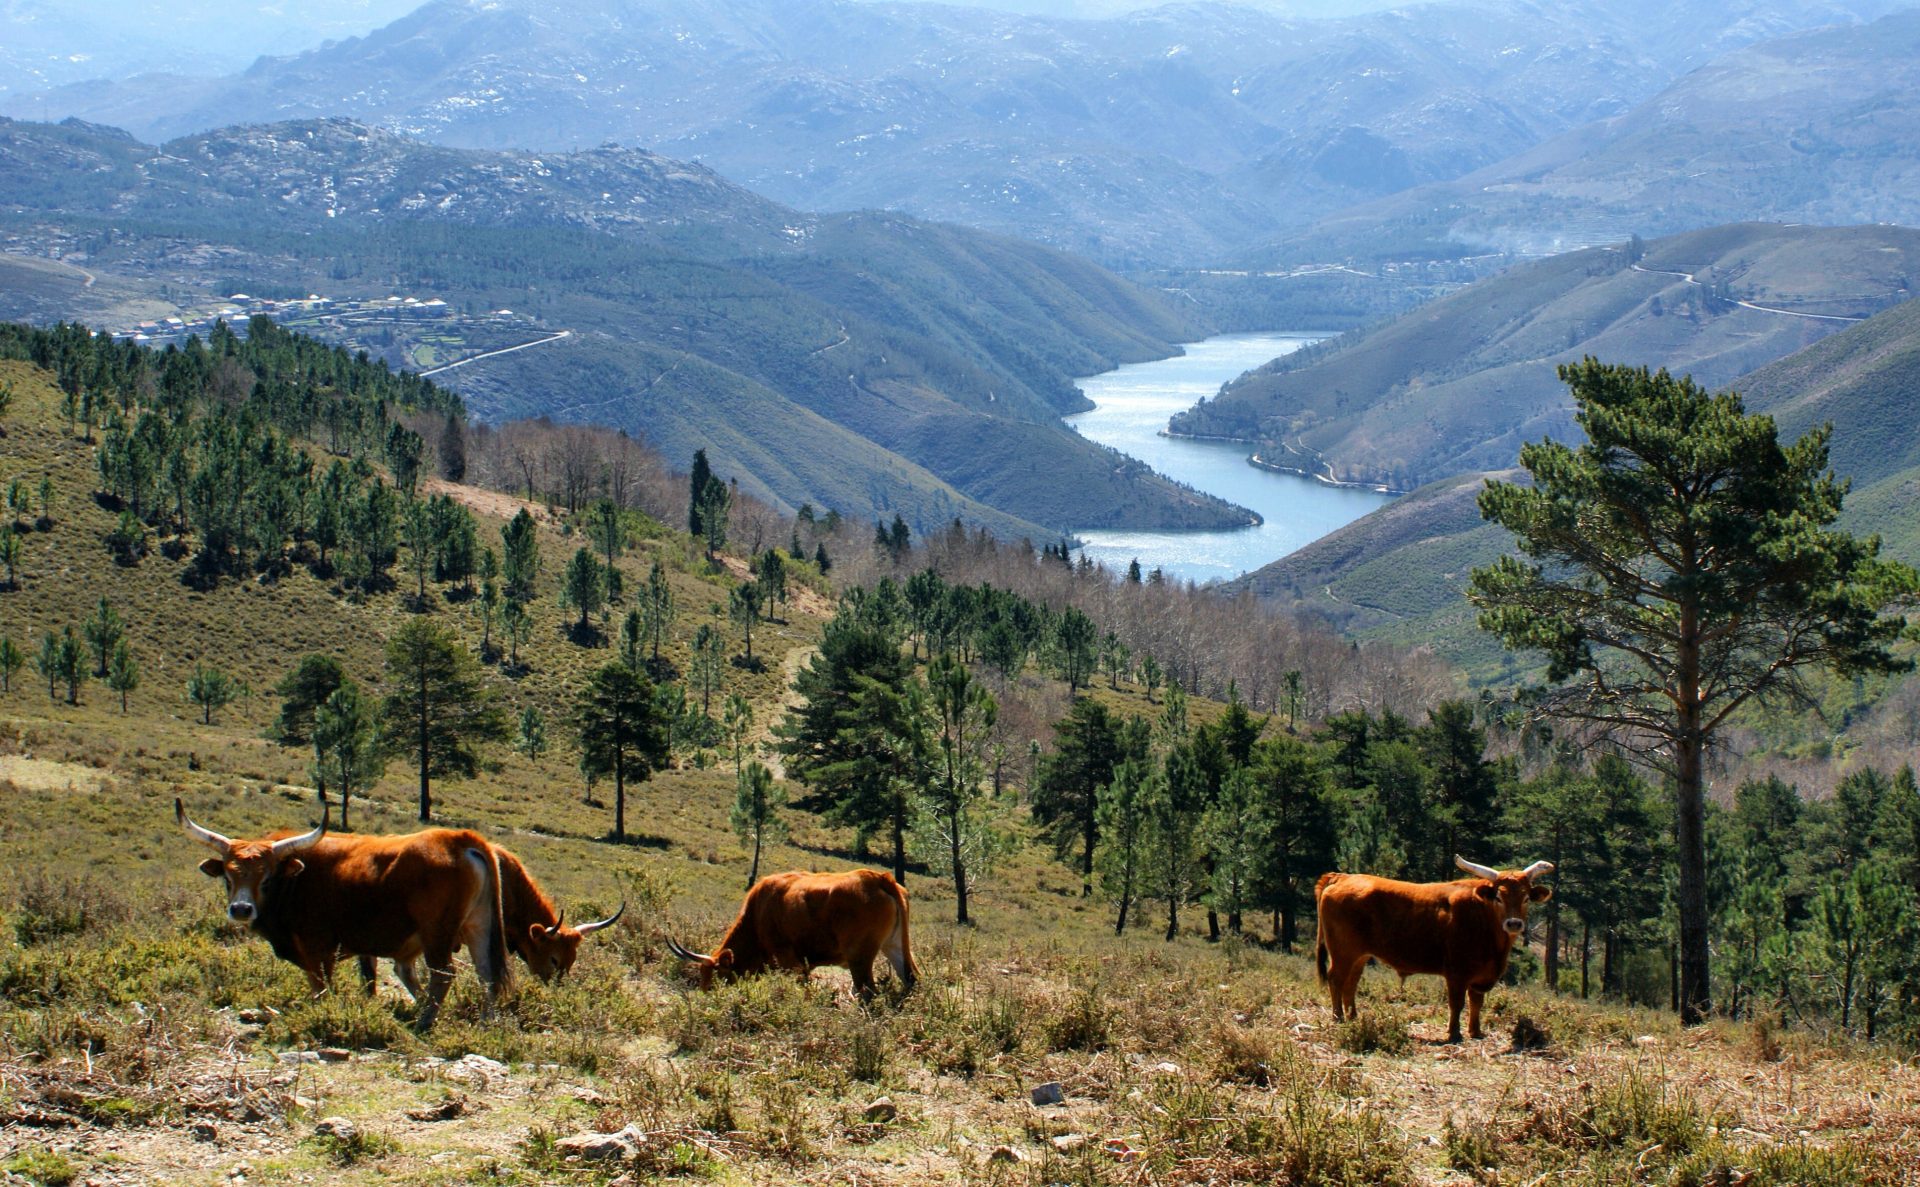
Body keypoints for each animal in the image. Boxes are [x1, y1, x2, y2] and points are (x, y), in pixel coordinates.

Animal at [176, 795, 506, 1029]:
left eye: (266, 879)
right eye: (228, 877)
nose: (241, 909)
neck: (296, 879)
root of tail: (458, 839)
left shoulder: (317, 951)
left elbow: (321, 988)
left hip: (437, 933)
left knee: (444, 974)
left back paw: (425, 1022)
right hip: (478, 927)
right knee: (487, 973)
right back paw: (486, 1023)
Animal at [668, 864, 921, 991]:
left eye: (714, 982)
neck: (758, 912)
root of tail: (877, 877)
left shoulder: (790, 962)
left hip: (859, 957)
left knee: (866, 991)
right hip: (895, 946)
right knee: (911, 979)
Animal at [1313, 856, 1551, 1037]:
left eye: (1526, 898)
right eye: (1499, 897)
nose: (1514, 923)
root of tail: (1343, 877)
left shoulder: (1480, 976)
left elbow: (1476, 1002)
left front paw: (1475, 1032)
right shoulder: (1456, 972)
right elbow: (1457, 1003)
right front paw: (1454, 1033)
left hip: (1359, 956)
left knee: (1350, 984)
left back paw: (1353, 1017)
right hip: (1343, 952)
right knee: (1336, 979)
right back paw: (1338, 1018)